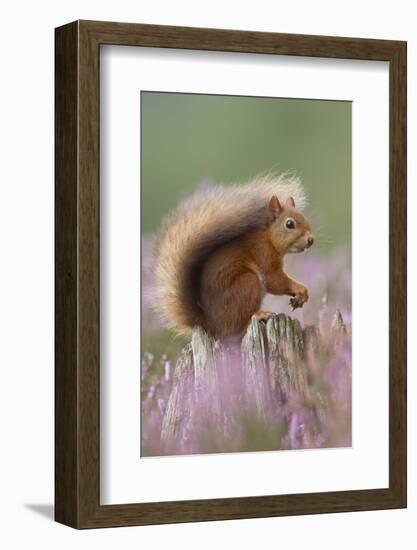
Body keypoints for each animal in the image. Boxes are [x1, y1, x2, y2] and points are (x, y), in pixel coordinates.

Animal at [154, 176, 314, 340]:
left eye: (304, 218)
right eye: (289, 224)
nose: (311, 239)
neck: (268, 237)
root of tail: (212, 326)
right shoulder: (263, 253)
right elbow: (275, 281)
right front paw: (300, 288)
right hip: (248, 284)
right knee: (238, 327)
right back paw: (259, 315)